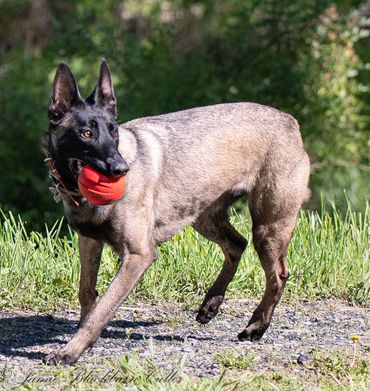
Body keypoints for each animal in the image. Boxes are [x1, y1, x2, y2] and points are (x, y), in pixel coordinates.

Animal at [42, 59, 310, 366]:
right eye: (86, 133)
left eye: (114, 132)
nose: (121, 169)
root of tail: (290, 122)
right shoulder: (89, 241)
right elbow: (87, 292)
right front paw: (82, 339)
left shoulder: (137, 256)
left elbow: (103, 306)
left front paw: (71, 350)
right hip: (203, 218)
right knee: (236, 245)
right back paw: (212, 302)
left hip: (268, 228)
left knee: (277, 276)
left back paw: (256, 326)